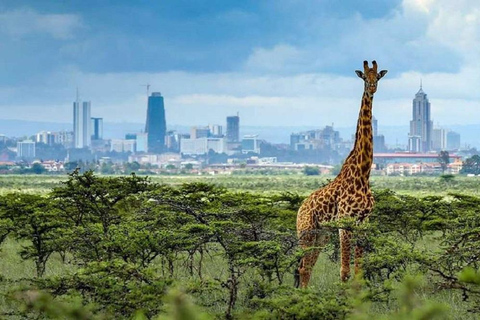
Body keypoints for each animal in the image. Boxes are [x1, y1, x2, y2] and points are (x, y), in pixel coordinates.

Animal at [294, 59, 388, 288]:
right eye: (364, 77)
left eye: (377, 76)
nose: (372, 88)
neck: (363, 173)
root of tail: (299, 209)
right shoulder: (345, 222)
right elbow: (344, 272)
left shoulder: (363, 223)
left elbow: (358, 272)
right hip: (306, 232)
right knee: (302, 267)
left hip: (322, 234)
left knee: (307, 267)